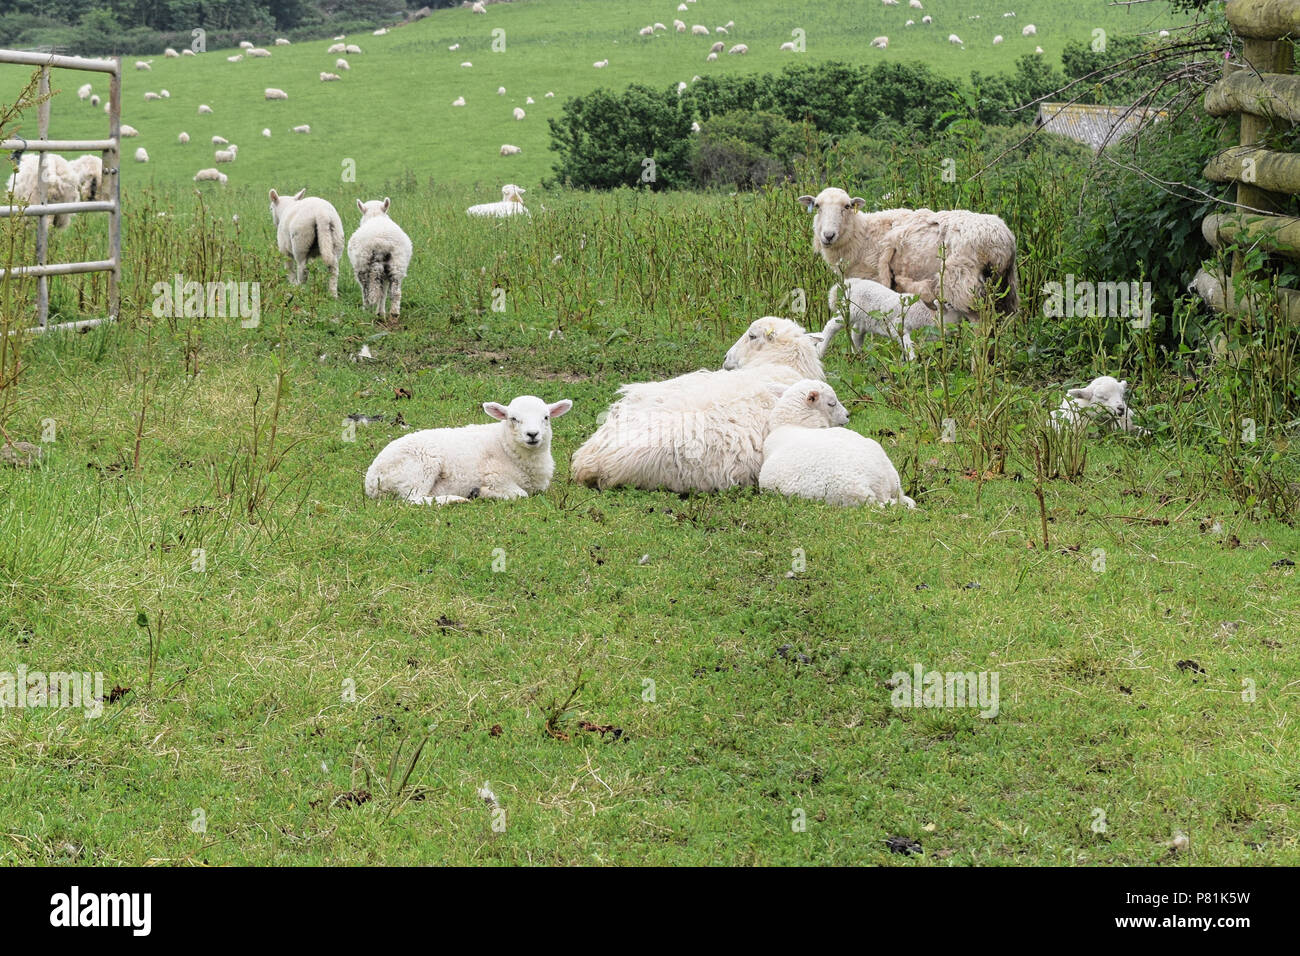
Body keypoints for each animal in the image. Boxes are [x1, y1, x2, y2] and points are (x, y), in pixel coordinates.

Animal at [365, 395, 573, 505]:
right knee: (413, 499)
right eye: (513, 418)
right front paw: (481, 492)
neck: (505, 445)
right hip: (421, 466)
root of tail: (371, 482)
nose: (532, 434)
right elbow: (520, 494)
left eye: (546, 417)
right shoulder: (496, 477)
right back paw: (455, 499)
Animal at [796, 187, 1019, 319]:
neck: (862, 236)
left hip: (964, 286)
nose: (828, 235)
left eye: (847, 206)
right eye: (817, 206)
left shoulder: (872, 282)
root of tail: (1001, 240)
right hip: (1004, 286)